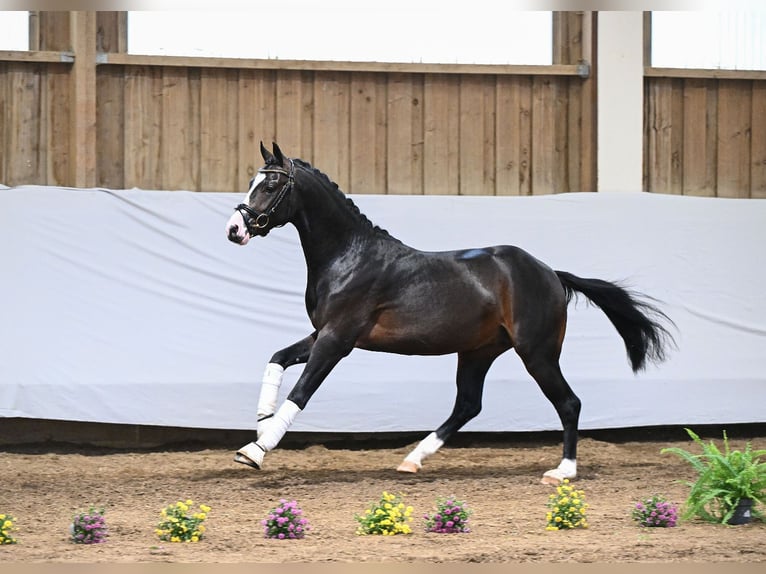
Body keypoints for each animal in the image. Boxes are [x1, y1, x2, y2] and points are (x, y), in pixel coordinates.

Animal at [225, 144, 676, 486]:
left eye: (271, 184)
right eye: (251, 182)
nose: (235, 229)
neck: (348, 256)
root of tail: (551, 273)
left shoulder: (338, 340)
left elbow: (301, 393)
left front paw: (254, 450)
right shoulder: (322, 333)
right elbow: (277, 359)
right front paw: (262, 421)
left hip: (537, 353)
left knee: (569, 402)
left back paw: (562, 472)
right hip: (478, 352)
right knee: (468, 406)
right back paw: (412, 460)